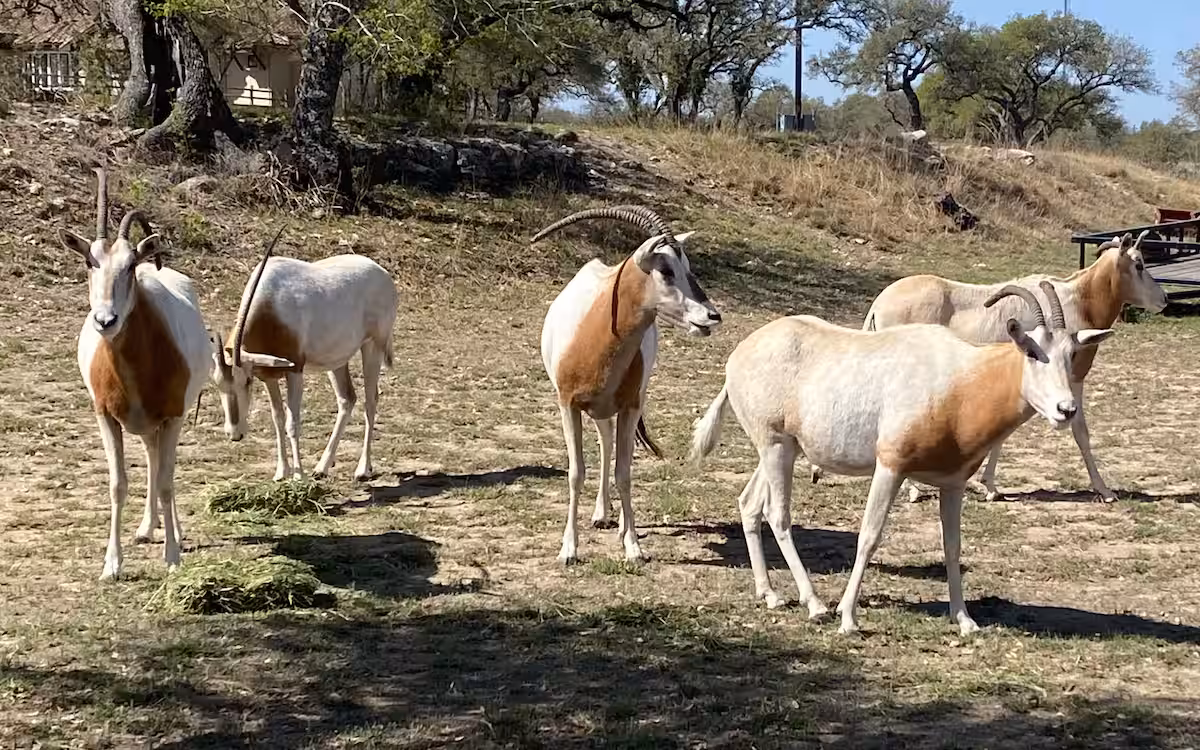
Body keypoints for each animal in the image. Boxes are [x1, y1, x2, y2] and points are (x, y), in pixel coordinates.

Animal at [61, 166, 212, 580]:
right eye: (89, 262)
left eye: (129, 266)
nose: (105, 321)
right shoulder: (105, 416)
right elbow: (118, 484)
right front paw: (111, 565)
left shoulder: (173, 416)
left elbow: (166, 483)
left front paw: (173, 557)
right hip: (143, 424)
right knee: (151, 456)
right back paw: (147, 527)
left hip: (166, 420)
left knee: (163, 470)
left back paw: (170, 530)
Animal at [211, 236, 398, 482]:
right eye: (217, 384)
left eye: (247, 382)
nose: (235, 434)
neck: (271, 305)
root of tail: (383, 274)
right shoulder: (268, 375)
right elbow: (278, 418)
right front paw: (281, 472)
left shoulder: (295, 371)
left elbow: (292, 423)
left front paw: (299, 475)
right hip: (336, 359)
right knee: (347, 398)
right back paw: (322, 467)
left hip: (372, 346)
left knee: (370, 400)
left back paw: (362, 469)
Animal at [536, 206, 721, 564]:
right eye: (666, 269)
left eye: (688, 267)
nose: (711, 316)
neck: (596, 332)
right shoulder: (568, 405)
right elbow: (576, 473)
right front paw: (569, 549)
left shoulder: (630, 405)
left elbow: (624, 473)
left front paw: (633, 546)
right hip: (598, 409)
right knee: (606, 442)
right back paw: (600, 514)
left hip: (629, 404)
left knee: (618, 451)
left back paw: (618, 522)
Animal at [690, 283, 1114, 635]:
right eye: (1031, 351)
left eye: (1071, 354)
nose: (1066, 409)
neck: (961, 381)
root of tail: (739, 356)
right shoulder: (890, 467)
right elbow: (869, 536)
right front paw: (847, 617)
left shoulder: (953, 483)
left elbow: (952, 546)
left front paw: (965, 620)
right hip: (775, 446)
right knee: (777, 515)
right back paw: (815, 604)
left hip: (783, 450)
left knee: (749, 504)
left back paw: (770, 594)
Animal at [831, 231, 1166, 503]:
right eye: (1139, 264)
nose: (1162, 299)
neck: (1078, 297)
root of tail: (879, 304)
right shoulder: (1070, 378)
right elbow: (1080, 431)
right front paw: (1105, 490)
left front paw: (989, 486)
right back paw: (914, 490)